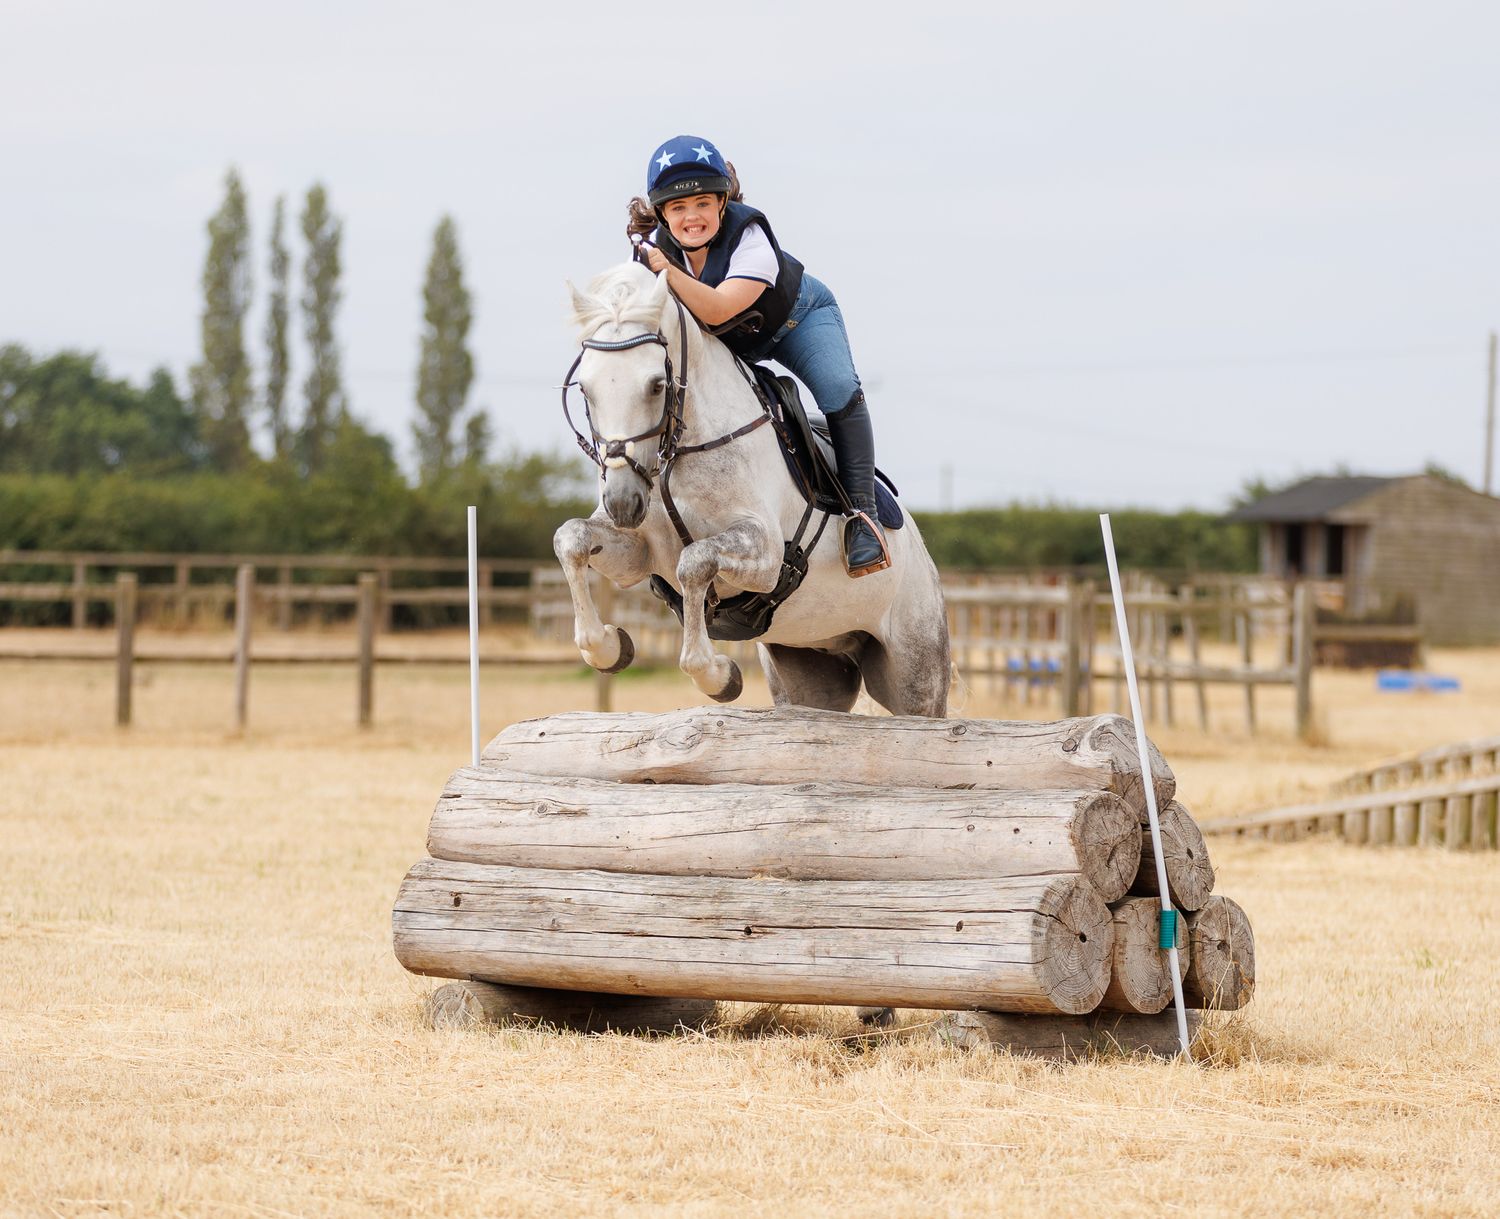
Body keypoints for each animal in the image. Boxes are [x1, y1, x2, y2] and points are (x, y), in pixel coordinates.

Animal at [553, 261, 950, 717]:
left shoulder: (766, 555)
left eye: (656, 384)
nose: (622, 503)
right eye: (585, 388)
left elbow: (695, 562)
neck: (684, 444)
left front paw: (718, 676)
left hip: (915, 673)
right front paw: (608, 648)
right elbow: (570, 538)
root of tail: (923, 556)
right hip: (810, 670)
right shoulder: (637, 555)